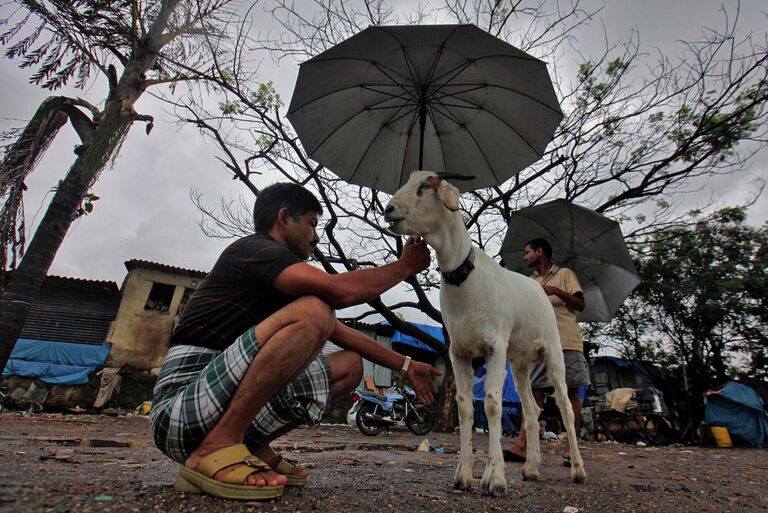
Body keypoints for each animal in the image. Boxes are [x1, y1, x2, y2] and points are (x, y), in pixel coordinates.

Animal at [384, 170, 588, 494]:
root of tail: (540, 288)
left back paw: (578, 469)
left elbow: (492, 404)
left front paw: (495, 478)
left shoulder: (494, 348)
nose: (389, 209)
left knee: (566, 408)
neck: (466, 279)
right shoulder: (459, 352)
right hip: (519, 362)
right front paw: (464, 475)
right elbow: (465, 407)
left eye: (424, 186)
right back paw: (531, 467)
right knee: (532, 410)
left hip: (554, 350)